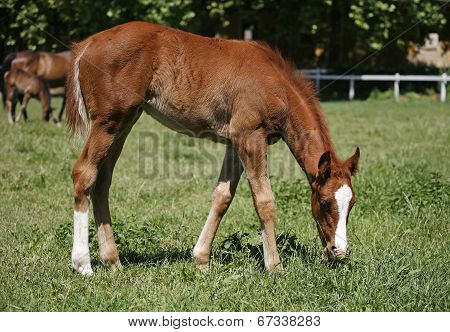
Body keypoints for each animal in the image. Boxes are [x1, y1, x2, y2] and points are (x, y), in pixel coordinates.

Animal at [66, 20, 358, 274]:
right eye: (324, 202)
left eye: (352, 203)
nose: (339, 251)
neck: (275, 83)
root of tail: (86, 44)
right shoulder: (250, 136)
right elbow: (264, 200)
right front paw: (275, 266)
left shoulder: (234, 142)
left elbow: (222, 196)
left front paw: (201, 259)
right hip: (108, 122)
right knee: (84, 174)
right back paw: (83, 264)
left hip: (124, 123)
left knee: (102, 182)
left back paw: (113, 261)